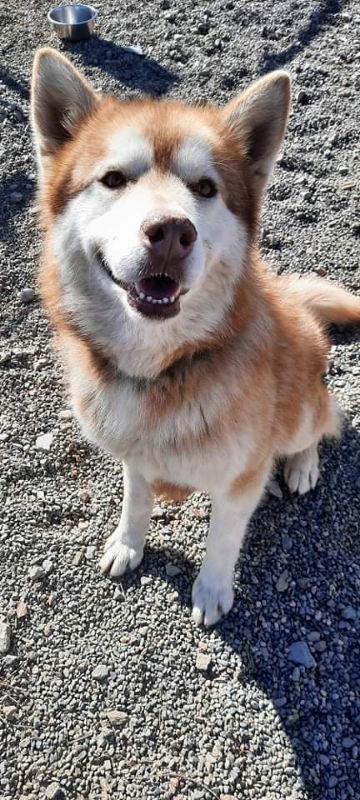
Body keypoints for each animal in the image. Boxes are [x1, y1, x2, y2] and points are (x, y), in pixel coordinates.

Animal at [31, 50, 360, 624]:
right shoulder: (134, 457)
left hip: (301, 406)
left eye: (206, 188)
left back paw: (302, 465)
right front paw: (128, 544)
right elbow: (135, 501)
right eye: (113, 179)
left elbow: (222, 541)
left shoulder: (241, 479)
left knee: (323, 420)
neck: (162, 369)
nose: (170, 232)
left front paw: (211, 590)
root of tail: (292, 301)